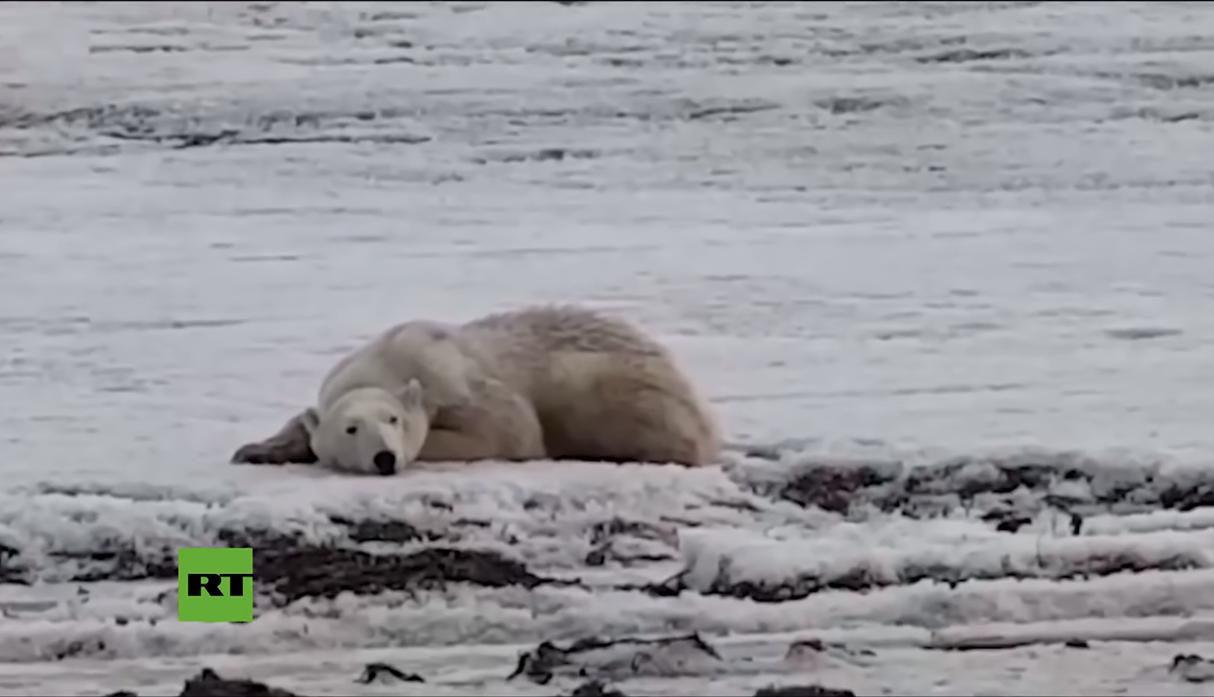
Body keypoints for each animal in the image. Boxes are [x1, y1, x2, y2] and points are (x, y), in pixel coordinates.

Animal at [229, 306, 718, 476]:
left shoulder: (454, 381)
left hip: (609, 382)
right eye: (350, 428)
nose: (385, 458)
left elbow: (509, 429)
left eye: (394, 420)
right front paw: (256, 450)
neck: (388, 361)